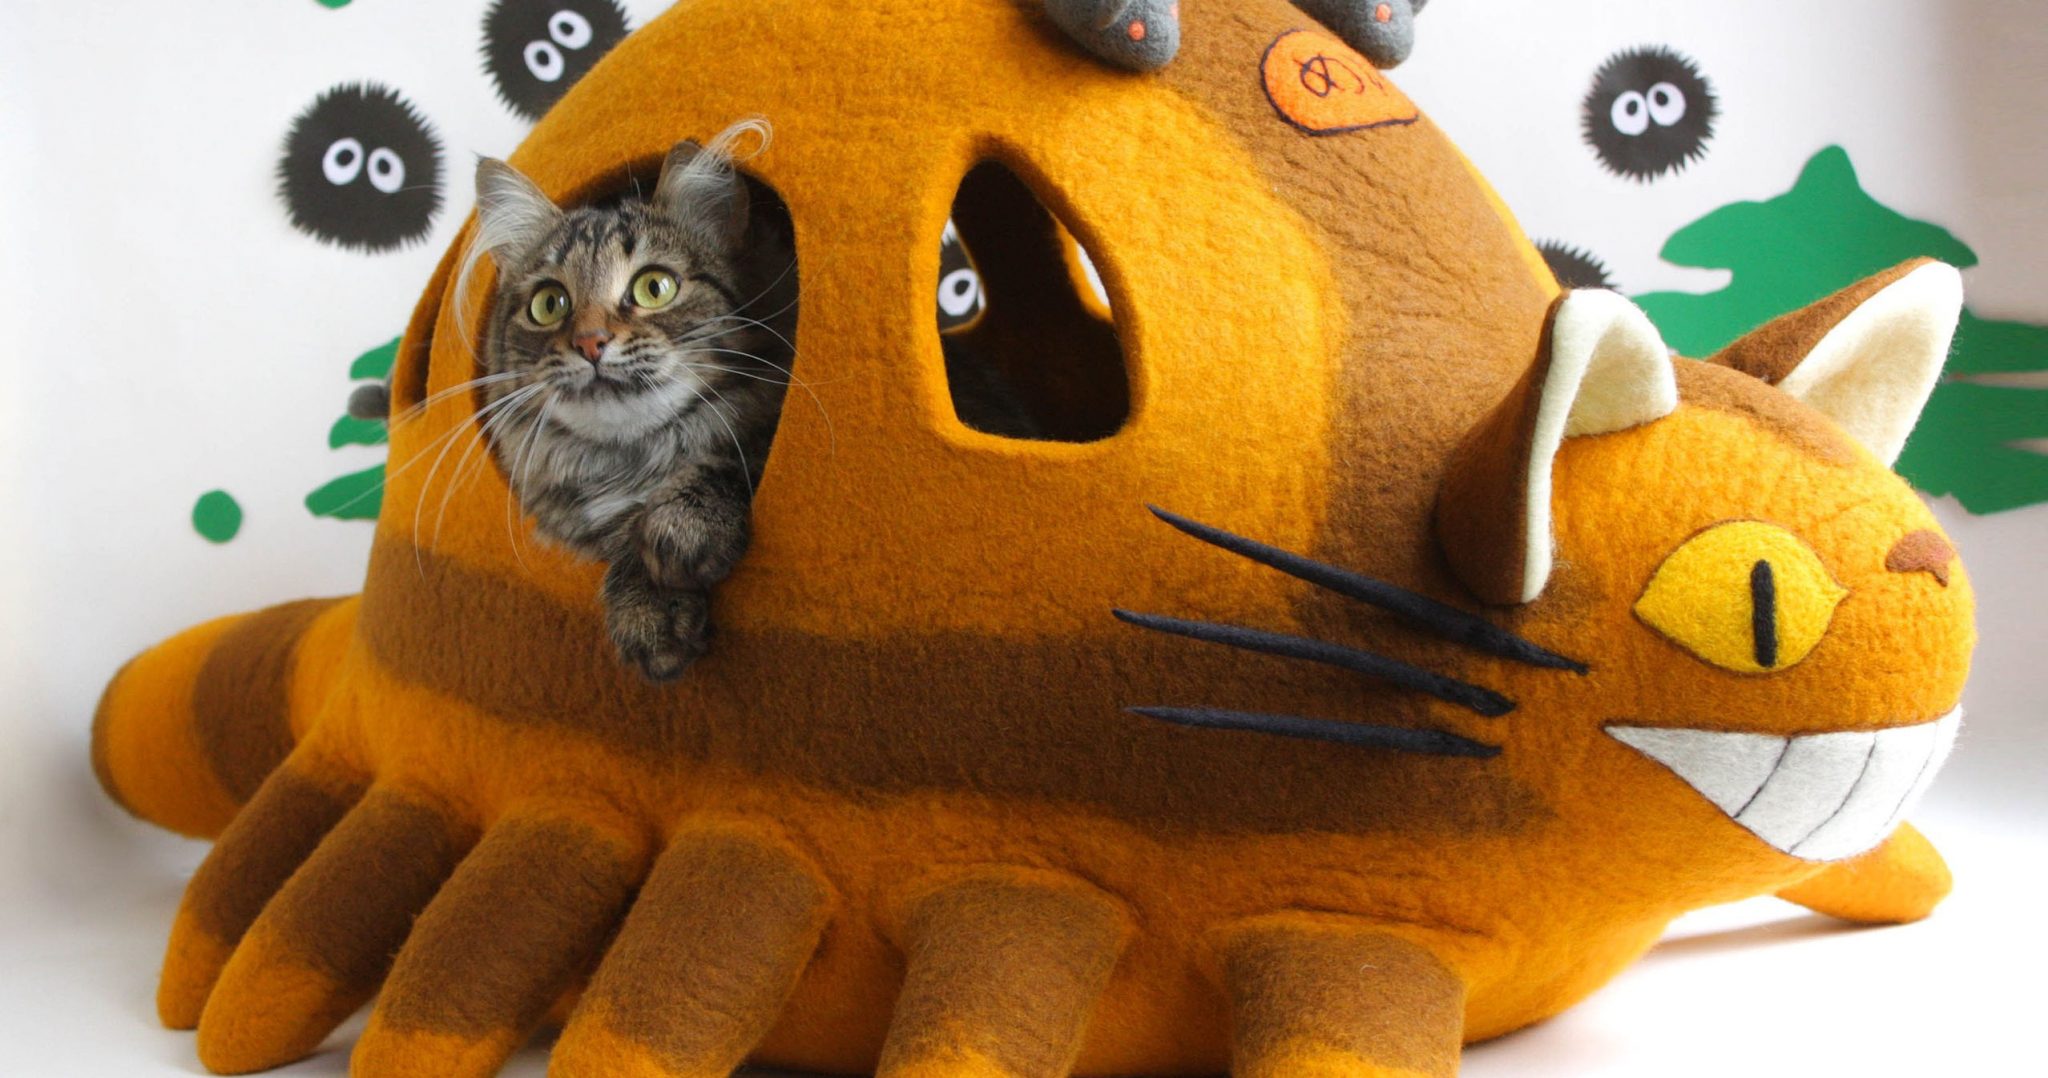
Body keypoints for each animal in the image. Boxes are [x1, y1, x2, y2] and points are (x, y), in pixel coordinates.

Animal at [468, 120, 798, 682]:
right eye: (549, 304)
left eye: (654, 288)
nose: (590, 343)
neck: (631, 464)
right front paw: (649, 605)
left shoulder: (765, 427)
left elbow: (731, 457)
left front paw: (674, 535)